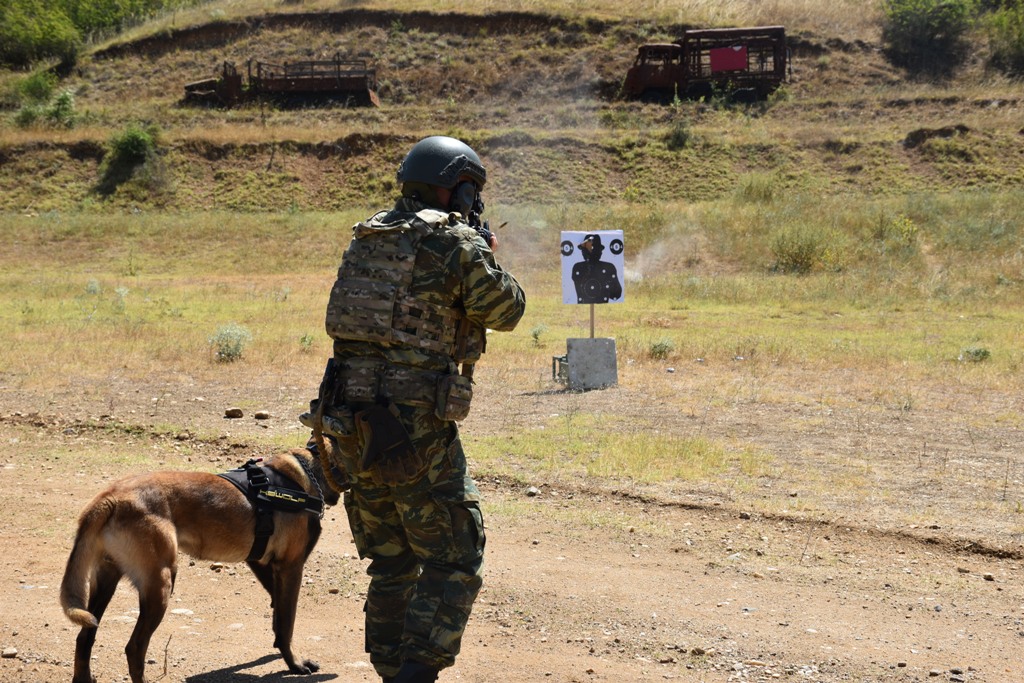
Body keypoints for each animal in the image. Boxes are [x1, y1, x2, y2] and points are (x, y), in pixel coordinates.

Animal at [58, 448, 339, 683]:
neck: (308, 473)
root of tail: (111, 498)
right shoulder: (291, 567)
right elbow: (287, 620)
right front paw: (295, 664)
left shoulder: (260, 562)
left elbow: (278, 613)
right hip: (161, 583)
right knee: (134, 648)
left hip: (106, 581)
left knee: (85, 637)